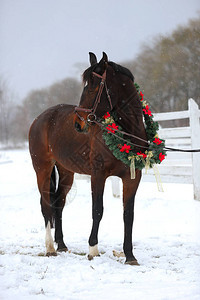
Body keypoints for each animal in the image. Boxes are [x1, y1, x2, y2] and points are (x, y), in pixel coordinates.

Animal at [28, 52, 147, 264]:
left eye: (93, 87)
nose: (78, 124)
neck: (126, 134)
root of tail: (40, 119)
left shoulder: (132, 178)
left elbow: (128, 214)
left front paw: (130, 256)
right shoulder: (98, 175)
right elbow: (97, 210)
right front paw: (93, 249)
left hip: (66, 172)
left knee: (58, 203)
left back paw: (61, 244)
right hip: (42, 168)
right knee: (46, 205)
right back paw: (50, 247)